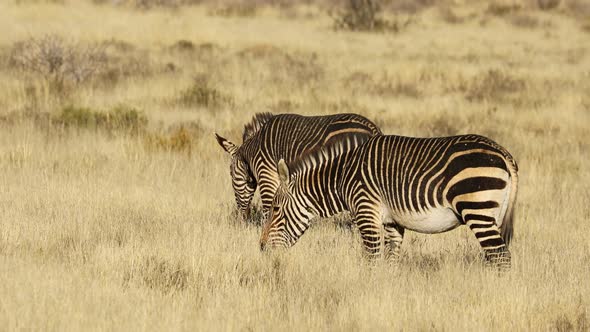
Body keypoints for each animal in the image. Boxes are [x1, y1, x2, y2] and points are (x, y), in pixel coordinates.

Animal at [217, 113, 384, 222]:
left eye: (231, 174)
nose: (242, 217)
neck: (252, 151)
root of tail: (372, 127)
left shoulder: (267, 174)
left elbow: (268, 207)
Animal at [262, 134, 520, 270]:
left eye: (275, 208)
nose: (262, 248)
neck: (342, 176)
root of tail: (503, 152)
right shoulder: (392, 222)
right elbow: (390, 260)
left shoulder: (366, 211)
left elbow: (372, 259)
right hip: (493, 215)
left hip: (477, 210)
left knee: (502, 257)